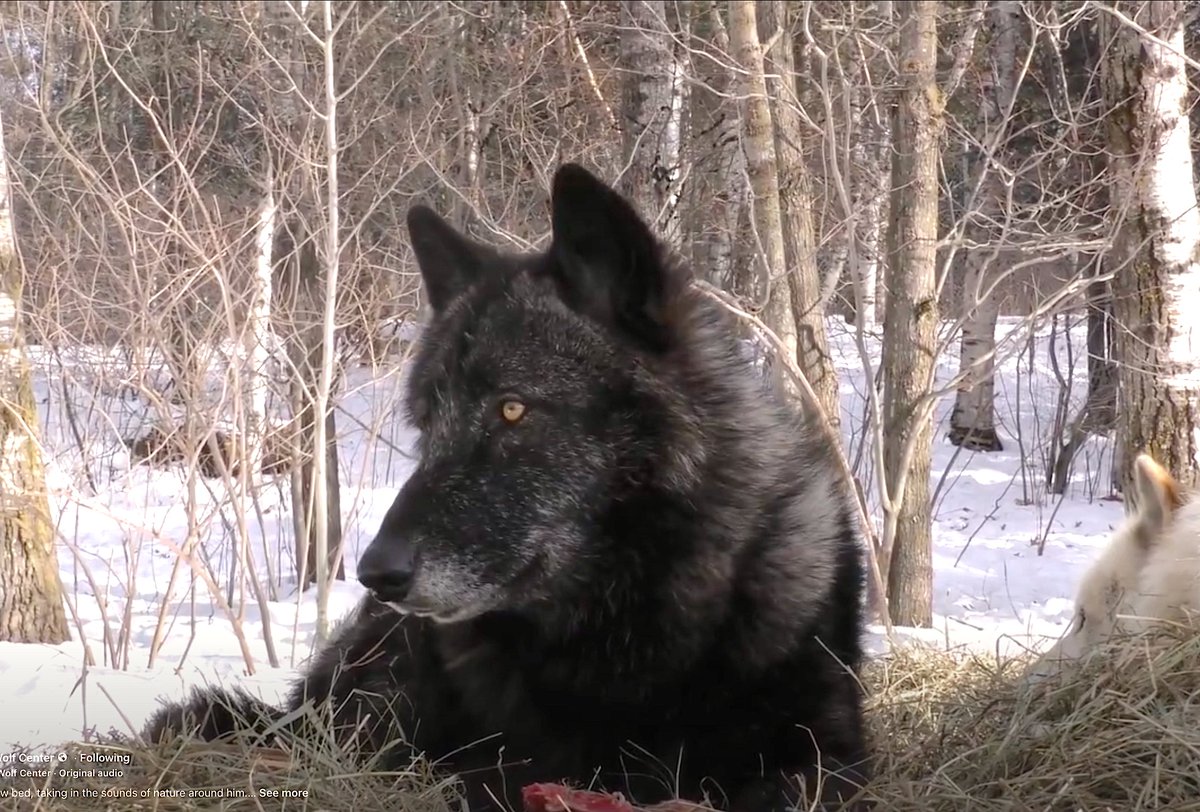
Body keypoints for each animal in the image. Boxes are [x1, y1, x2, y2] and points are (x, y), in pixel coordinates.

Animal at [145, 163, 870, 811]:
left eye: (513, 410)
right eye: (428, 421)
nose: (376, 574)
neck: (631, 622)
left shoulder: (829, 755)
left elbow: (786, 788)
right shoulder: (496, 764)